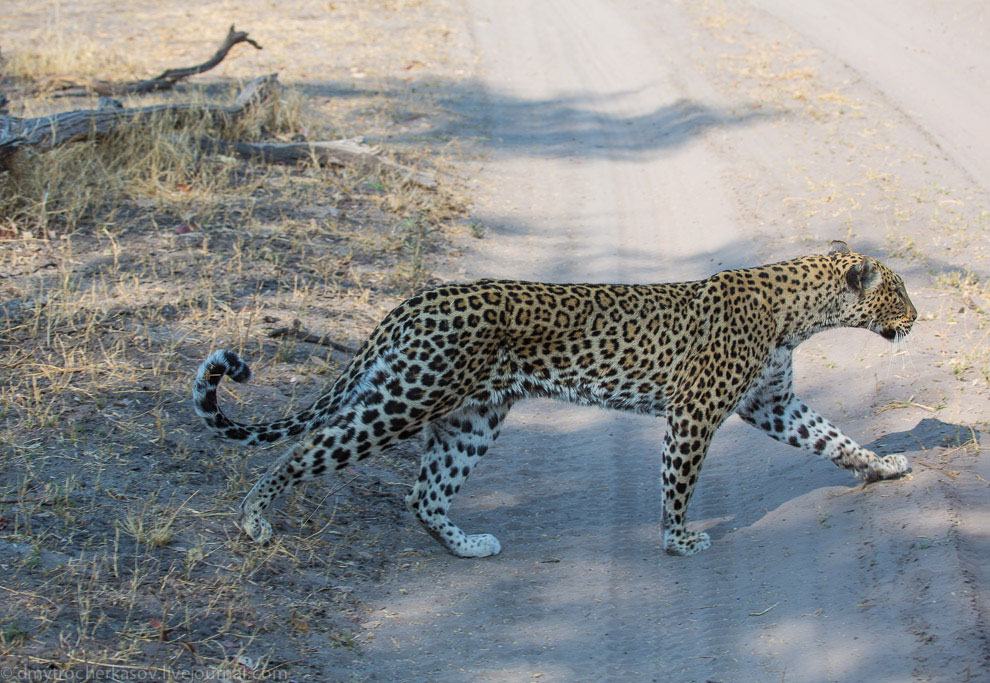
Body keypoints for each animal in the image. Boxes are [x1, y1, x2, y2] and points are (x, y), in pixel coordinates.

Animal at [194, 243, 924, 560]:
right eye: (900, 293)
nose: (919, 318)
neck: (798, 312)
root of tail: (417, 299)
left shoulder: (773, 404)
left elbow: (836, 437)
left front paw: (883, 467)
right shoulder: (695, 410)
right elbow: (680, 479)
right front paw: (676, 537)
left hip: (471, 418)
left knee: (424, 493)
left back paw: (469, 545)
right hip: (406, 398)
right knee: (304, 449)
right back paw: (254, 519)